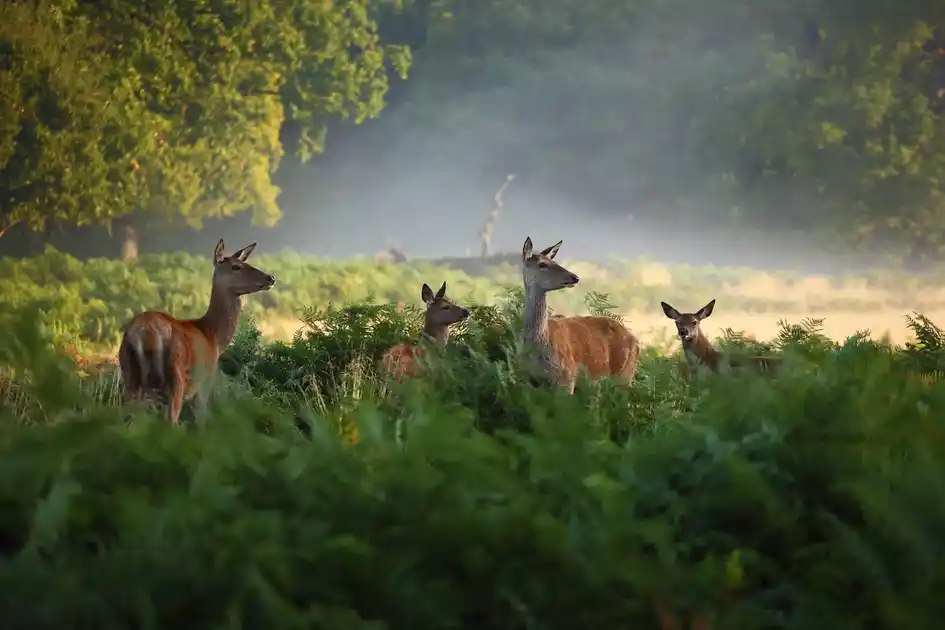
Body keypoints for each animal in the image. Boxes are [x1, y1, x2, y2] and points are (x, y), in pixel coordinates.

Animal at [118, 239, 276, 424]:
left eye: (246, 262)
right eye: (235, 266)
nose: (270, 277)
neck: (213, 336)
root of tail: (144, 334)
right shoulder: (204, 383)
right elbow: (201, 421)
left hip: (129, 375)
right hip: (176, 377)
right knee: (171, 419)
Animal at [520, 237, 641, 393]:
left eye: (555, 262)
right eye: (542, 264)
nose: (575, 277)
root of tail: (637, 342)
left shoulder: (567, 377)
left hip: (625, 375)